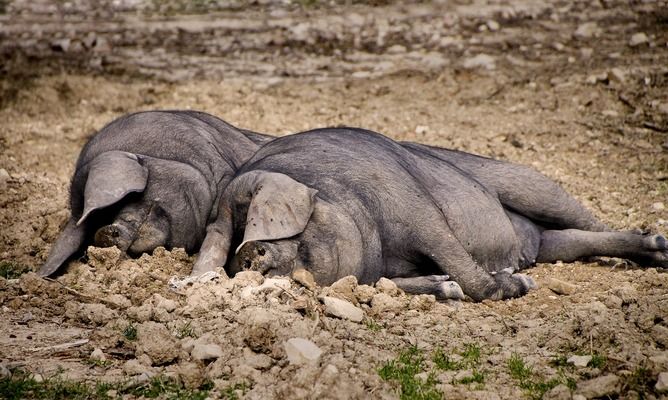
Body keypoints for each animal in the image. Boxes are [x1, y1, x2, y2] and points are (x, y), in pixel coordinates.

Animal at [189, 127, 668, 300]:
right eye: (232, 238)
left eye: (258, 220)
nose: (249, 256)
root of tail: (528, 241)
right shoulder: (375, 271)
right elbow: (400, 282)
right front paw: (445, 286)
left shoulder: (418, 210)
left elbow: (457, 258)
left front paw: (517, 285)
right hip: (550, 242)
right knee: (571, 241)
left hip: (529, 182)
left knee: (589, 221)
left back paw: (659, 246)